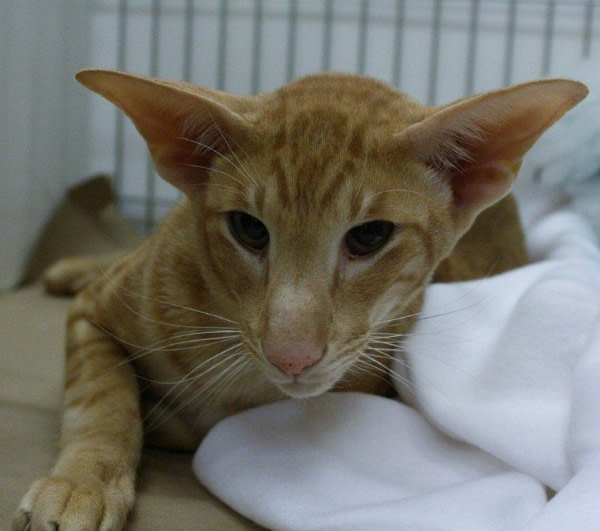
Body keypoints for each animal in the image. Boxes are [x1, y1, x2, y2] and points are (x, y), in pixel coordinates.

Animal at [14, 69, 586, 530]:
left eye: (370, 236)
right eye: (248, 229)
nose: (290, 355)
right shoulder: (92, 313)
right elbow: (102, 400)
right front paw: (82, 482)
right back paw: (72, 266)